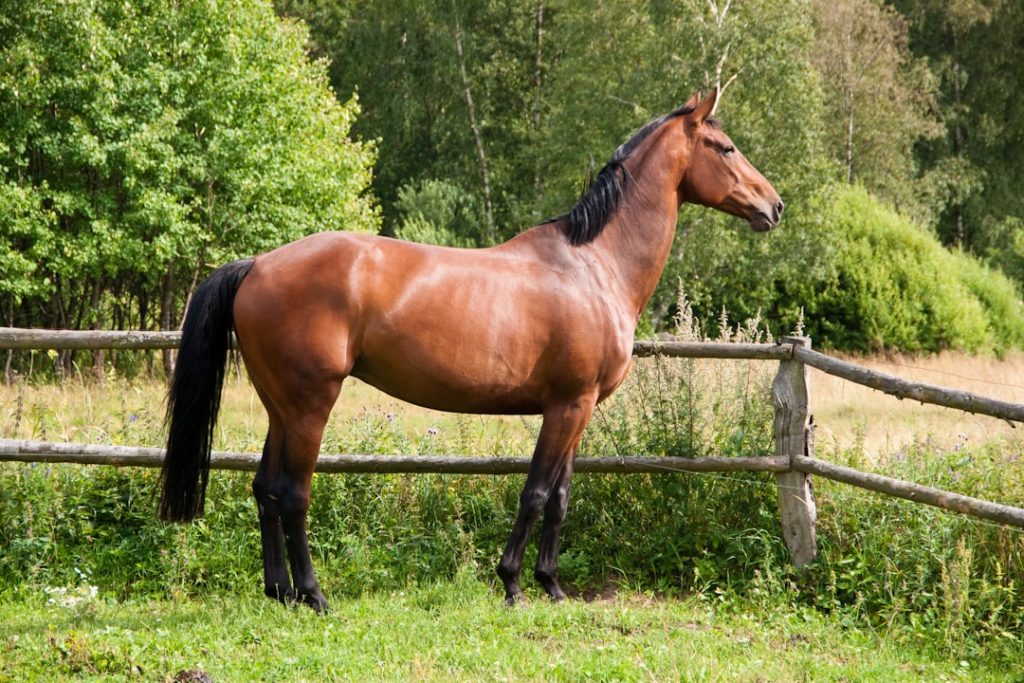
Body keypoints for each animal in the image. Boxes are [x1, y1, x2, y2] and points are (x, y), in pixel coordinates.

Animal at [158, 89, 783, 610]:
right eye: (726, 148)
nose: (774, 206)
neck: (593, 264)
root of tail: (258, 264)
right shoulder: (567, 406)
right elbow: (535, 492)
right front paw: (513, 584)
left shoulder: (578, 410)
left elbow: (560, 496)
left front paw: (552, 585)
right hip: (311, 406)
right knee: (291, 494)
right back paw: (313, 595)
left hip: (281, 408)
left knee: (264, 490)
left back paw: (279, 593)